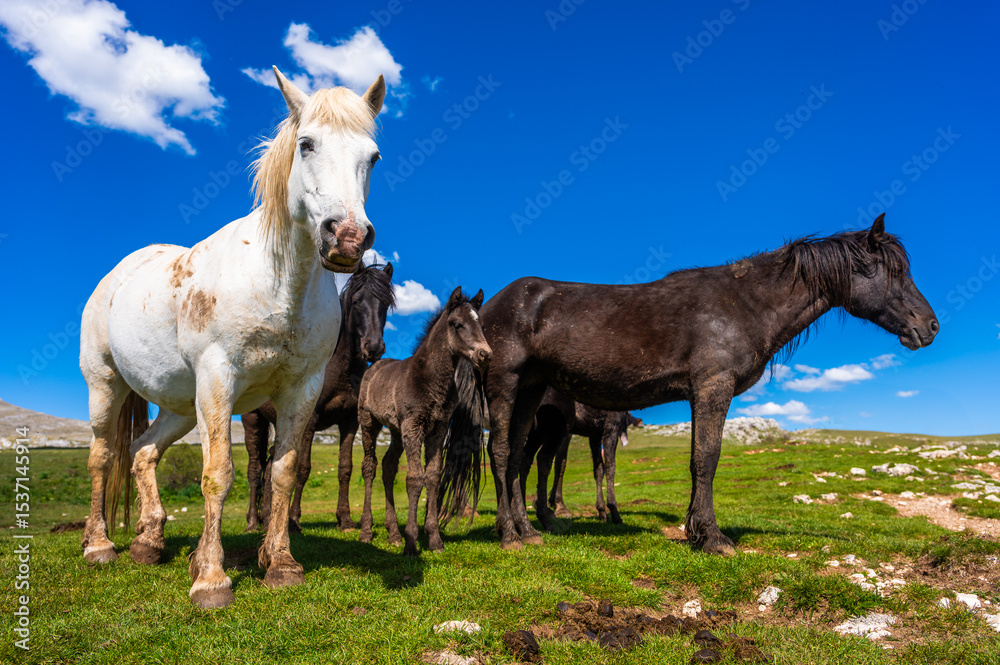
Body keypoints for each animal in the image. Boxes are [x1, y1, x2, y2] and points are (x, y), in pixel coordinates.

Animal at [242, 262, 395, 534]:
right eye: (357, 302)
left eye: (385, 304)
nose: (374, 347)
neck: (338, 368)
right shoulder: (310, 421)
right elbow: (302, 468)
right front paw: (293, 520)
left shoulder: (349, 422)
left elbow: (345, 468)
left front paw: (345, 520)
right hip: (253, 421)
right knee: (254, 469)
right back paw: (252, 522)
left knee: (269, 467)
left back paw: (268, 518)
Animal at [357, 288, 491, 556]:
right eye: (457, 324)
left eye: (480, 324)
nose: (485, 354)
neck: (431, 380)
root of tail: (374, 365)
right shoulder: (413, 428)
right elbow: (414, 479)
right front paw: (411, 542)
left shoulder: (437, 430)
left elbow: (432, 477)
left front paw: (434, 540)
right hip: (369, 422)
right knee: (369, 467)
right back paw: (366, 532)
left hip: (396, 431)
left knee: (388, 467)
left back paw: (393, 534)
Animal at [520, 387, 639, 531]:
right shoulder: (611, 428)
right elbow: (610, 467)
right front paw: (614, 512)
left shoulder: (595, 434)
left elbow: (598, 469)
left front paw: (602, 511)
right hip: (556, 428)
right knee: (543, 458)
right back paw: (545, 518)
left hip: (536, 430)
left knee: (525, 458)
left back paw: (523, 508)